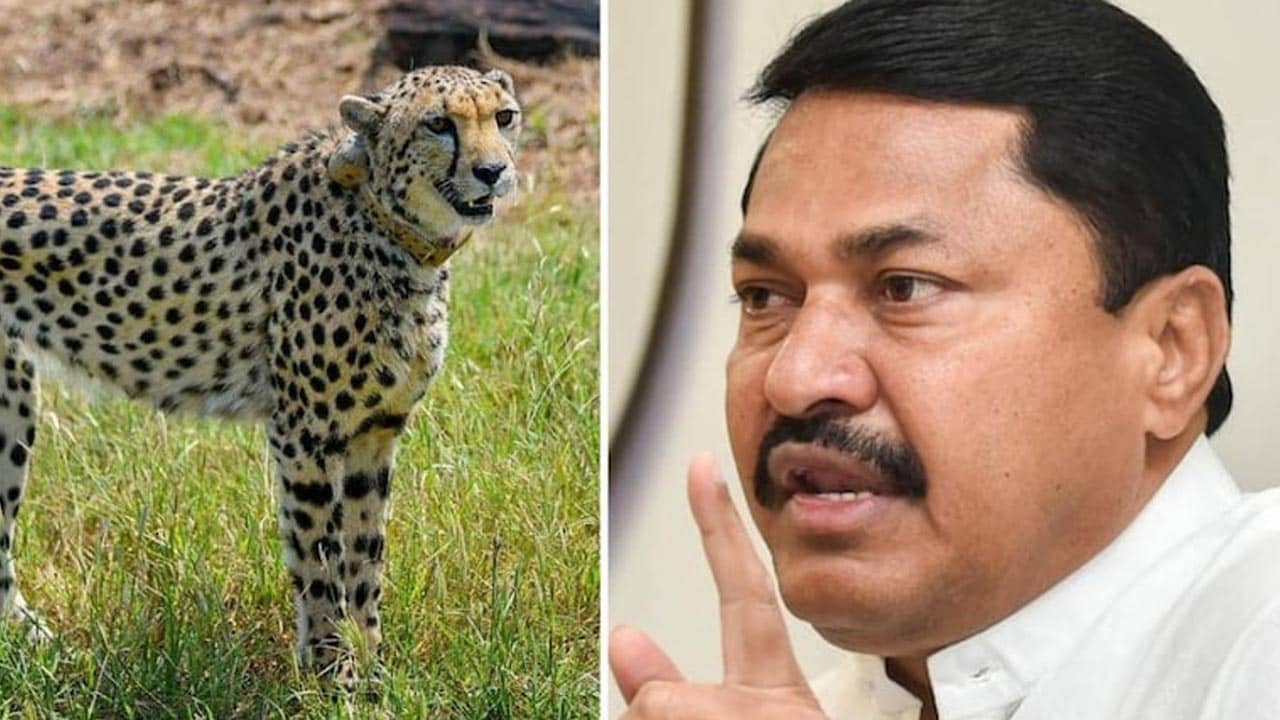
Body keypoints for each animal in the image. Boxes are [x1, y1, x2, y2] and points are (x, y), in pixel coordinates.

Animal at [0, 64, 521, 680]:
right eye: (439, 124)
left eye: (504, 117)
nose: (494, 171)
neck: (386, 224)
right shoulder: (306, 433)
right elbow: (319, 559)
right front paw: (333, 674)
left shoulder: (375, 433)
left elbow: (366, 557)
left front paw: (375, 668)